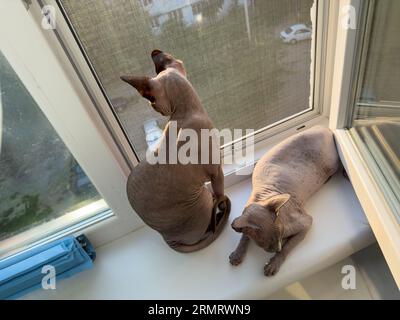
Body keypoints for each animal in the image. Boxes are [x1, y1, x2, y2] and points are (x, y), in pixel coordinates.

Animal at [120, 50, 230, 252]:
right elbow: (221, 195)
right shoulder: (217, 173)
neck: (185, 113)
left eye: (152, 104)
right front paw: (223, 207)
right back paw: (218, 218)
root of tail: (168, 239)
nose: (158, 111)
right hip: (202, 194)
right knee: (208, 223)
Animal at [230, 126, 340, 276]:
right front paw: (238, 253)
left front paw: (274, 263)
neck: (263, 197)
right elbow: (244, 235)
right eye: (268, 245)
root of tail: (322, 127)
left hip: (331, 164)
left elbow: (288, 246)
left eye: (281, 234)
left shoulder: (306, 222)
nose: (277, 248)